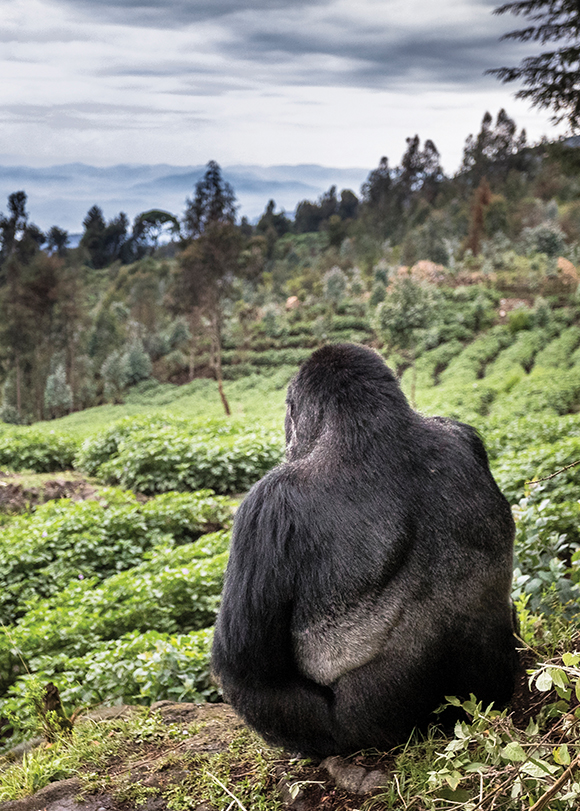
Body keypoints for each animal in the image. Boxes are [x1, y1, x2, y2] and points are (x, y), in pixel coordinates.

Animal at [211, 340, 520, 756]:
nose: (288, 438)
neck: (370, 428)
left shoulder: (266, 505)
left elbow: (244, 662)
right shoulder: (463, 433)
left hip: (359, 733)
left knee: (254, 684)